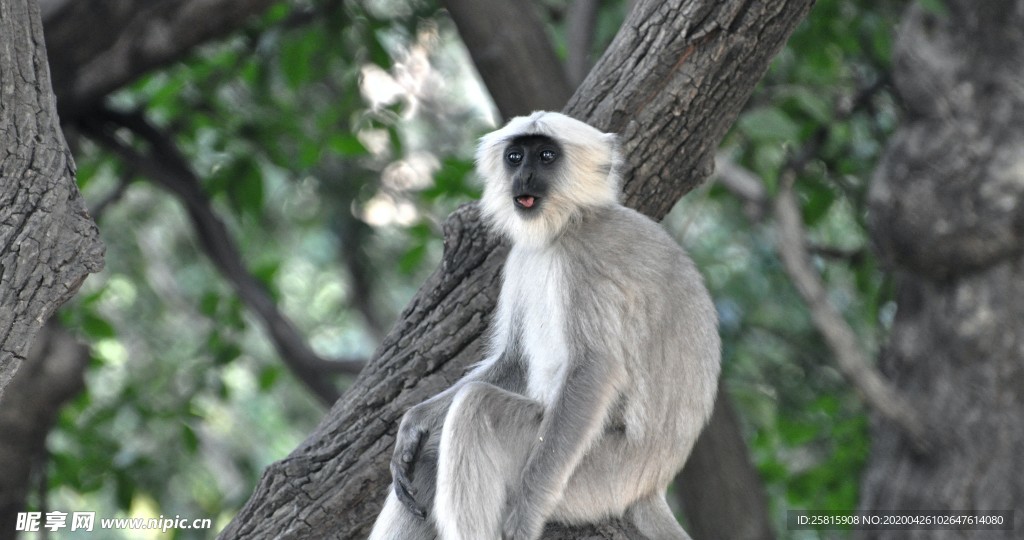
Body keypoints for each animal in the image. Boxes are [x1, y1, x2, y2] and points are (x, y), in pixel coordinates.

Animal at [368, 111, 720, 540]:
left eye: (547, 156)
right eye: (516, 157)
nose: (525, 177)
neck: (569, 223)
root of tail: (652, 484)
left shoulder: (584, 262)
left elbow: (594, 370)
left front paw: (526, 513)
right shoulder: (522, 256)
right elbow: (516, 361)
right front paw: (416, 421)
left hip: (596, 475)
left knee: (478, 407)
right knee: (431, 451)